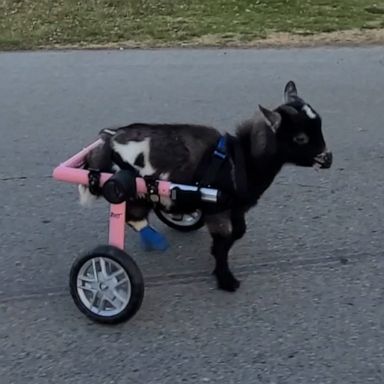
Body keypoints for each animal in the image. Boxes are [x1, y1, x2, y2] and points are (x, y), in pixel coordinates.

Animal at [79, 81, 332, 292]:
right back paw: (153, 240)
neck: (241, 158)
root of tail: (106, 144)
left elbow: (238, 232)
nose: (327, 158)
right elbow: (223, 240)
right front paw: (226, 280)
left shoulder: (235, 207)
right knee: (133, 216)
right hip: (127, 188)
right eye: (300, 138)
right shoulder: (217, 209)